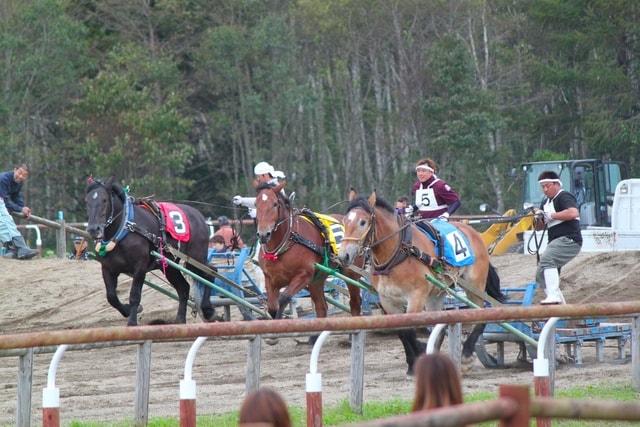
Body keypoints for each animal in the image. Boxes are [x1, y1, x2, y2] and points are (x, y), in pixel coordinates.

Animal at [84, 177, 215, 328]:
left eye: (104, 200)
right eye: (87, 201)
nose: (93, 229)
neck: (125, 228)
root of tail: (199, 216)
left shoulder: (140, 267)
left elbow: (134, 295)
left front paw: (132, 321)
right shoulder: (107, 268)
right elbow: (111, 297)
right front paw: (127, 311)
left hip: (196, 257)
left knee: (210, 273)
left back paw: (208, 309)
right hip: (169, 266)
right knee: (183, 288)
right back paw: (180, 319)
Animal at [255, 181, 364, 324]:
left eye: (274, 204)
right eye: (256, 204)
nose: (263, 234)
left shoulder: (304, 275)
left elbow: (284, 298)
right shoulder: (271, 279)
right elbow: (272, 308)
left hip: (351, 274)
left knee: (355, 303)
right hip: (317, 280)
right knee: (321, 307)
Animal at [338, 193, 502, 374]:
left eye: (363, 222)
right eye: (345, 221)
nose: (344, 255)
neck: (399, 251)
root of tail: (473, 232)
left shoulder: (416, 296)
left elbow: (410, 328)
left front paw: (417, 356)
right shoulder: (388, 301)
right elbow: (403, 331)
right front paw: (413, 361)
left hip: (474, 284)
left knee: (481, 313)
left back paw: (466, 354)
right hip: (436, 294)